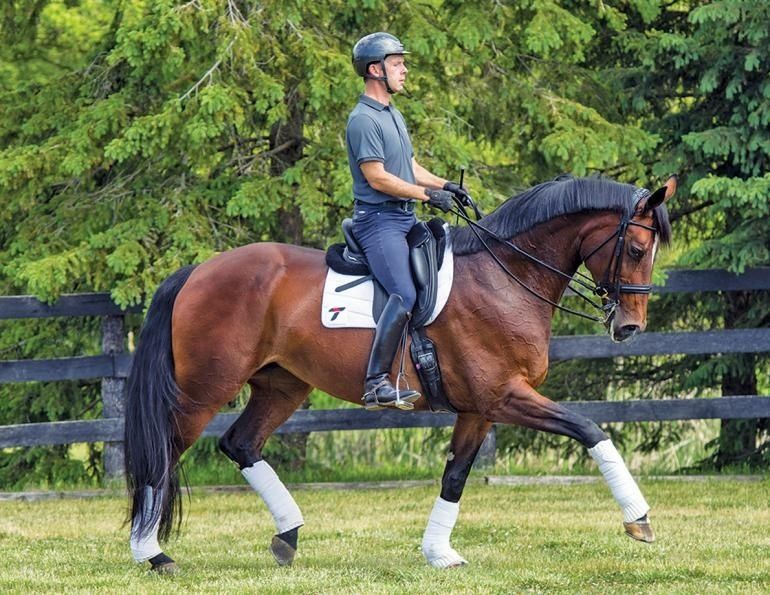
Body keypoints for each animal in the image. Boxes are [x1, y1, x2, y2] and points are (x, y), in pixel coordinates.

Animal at [124, 174, 676, 573]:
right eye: (634, 249)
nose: (629, 327)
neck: (504, 277)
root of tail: (197, 271)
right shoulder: (504, 396)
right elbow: (589, 429)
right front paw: (639, 519)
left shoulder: (479, 408)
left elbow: (455, 475)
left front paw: (438, 553)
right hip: (203, 391)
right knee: (162, 454)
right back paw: (153, 555)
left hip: (282, 385)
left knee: (240, 443)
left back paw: (287, 535)